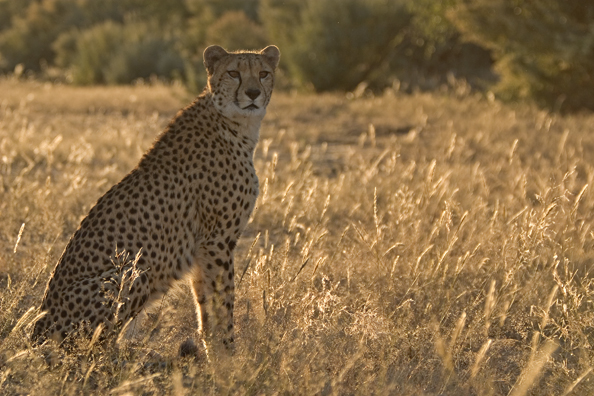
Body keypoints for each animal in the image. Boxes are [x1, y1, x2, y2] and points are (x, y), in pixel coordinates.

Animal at [31, 45, 280, 350]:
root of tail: (36, 331)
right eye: (234, 72)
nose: (253, 93)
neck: (234, 124)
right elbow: (223, 301)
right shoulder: (217, 240)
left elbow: (205, 305)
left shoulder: (202, 249)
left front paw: (214, 351)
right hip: (131, 272)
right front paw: (229, 353)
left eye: (263, 73)